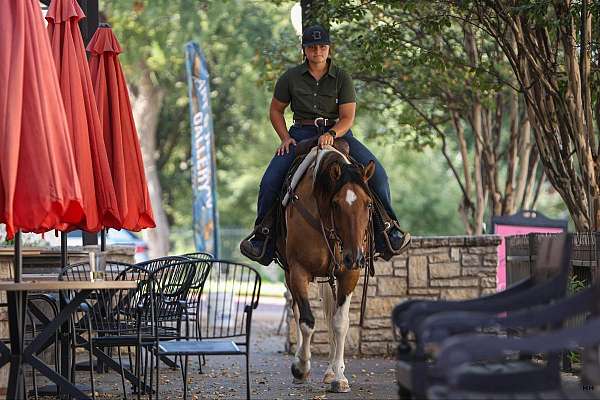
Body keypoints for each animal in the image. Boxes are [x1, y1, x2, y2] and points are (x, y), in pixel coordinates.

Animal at [278, 142, 376, 392]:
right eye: (336, 204)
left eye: (369, 204)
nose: (355, 257)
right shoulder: (298, 270)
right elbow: (306, 321)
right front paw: (301, 368)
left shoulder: (349, 274)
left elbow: (340, 323)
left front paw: (339, 377)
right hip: (290, 273)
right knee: (296, 310)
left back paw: (331, 370)